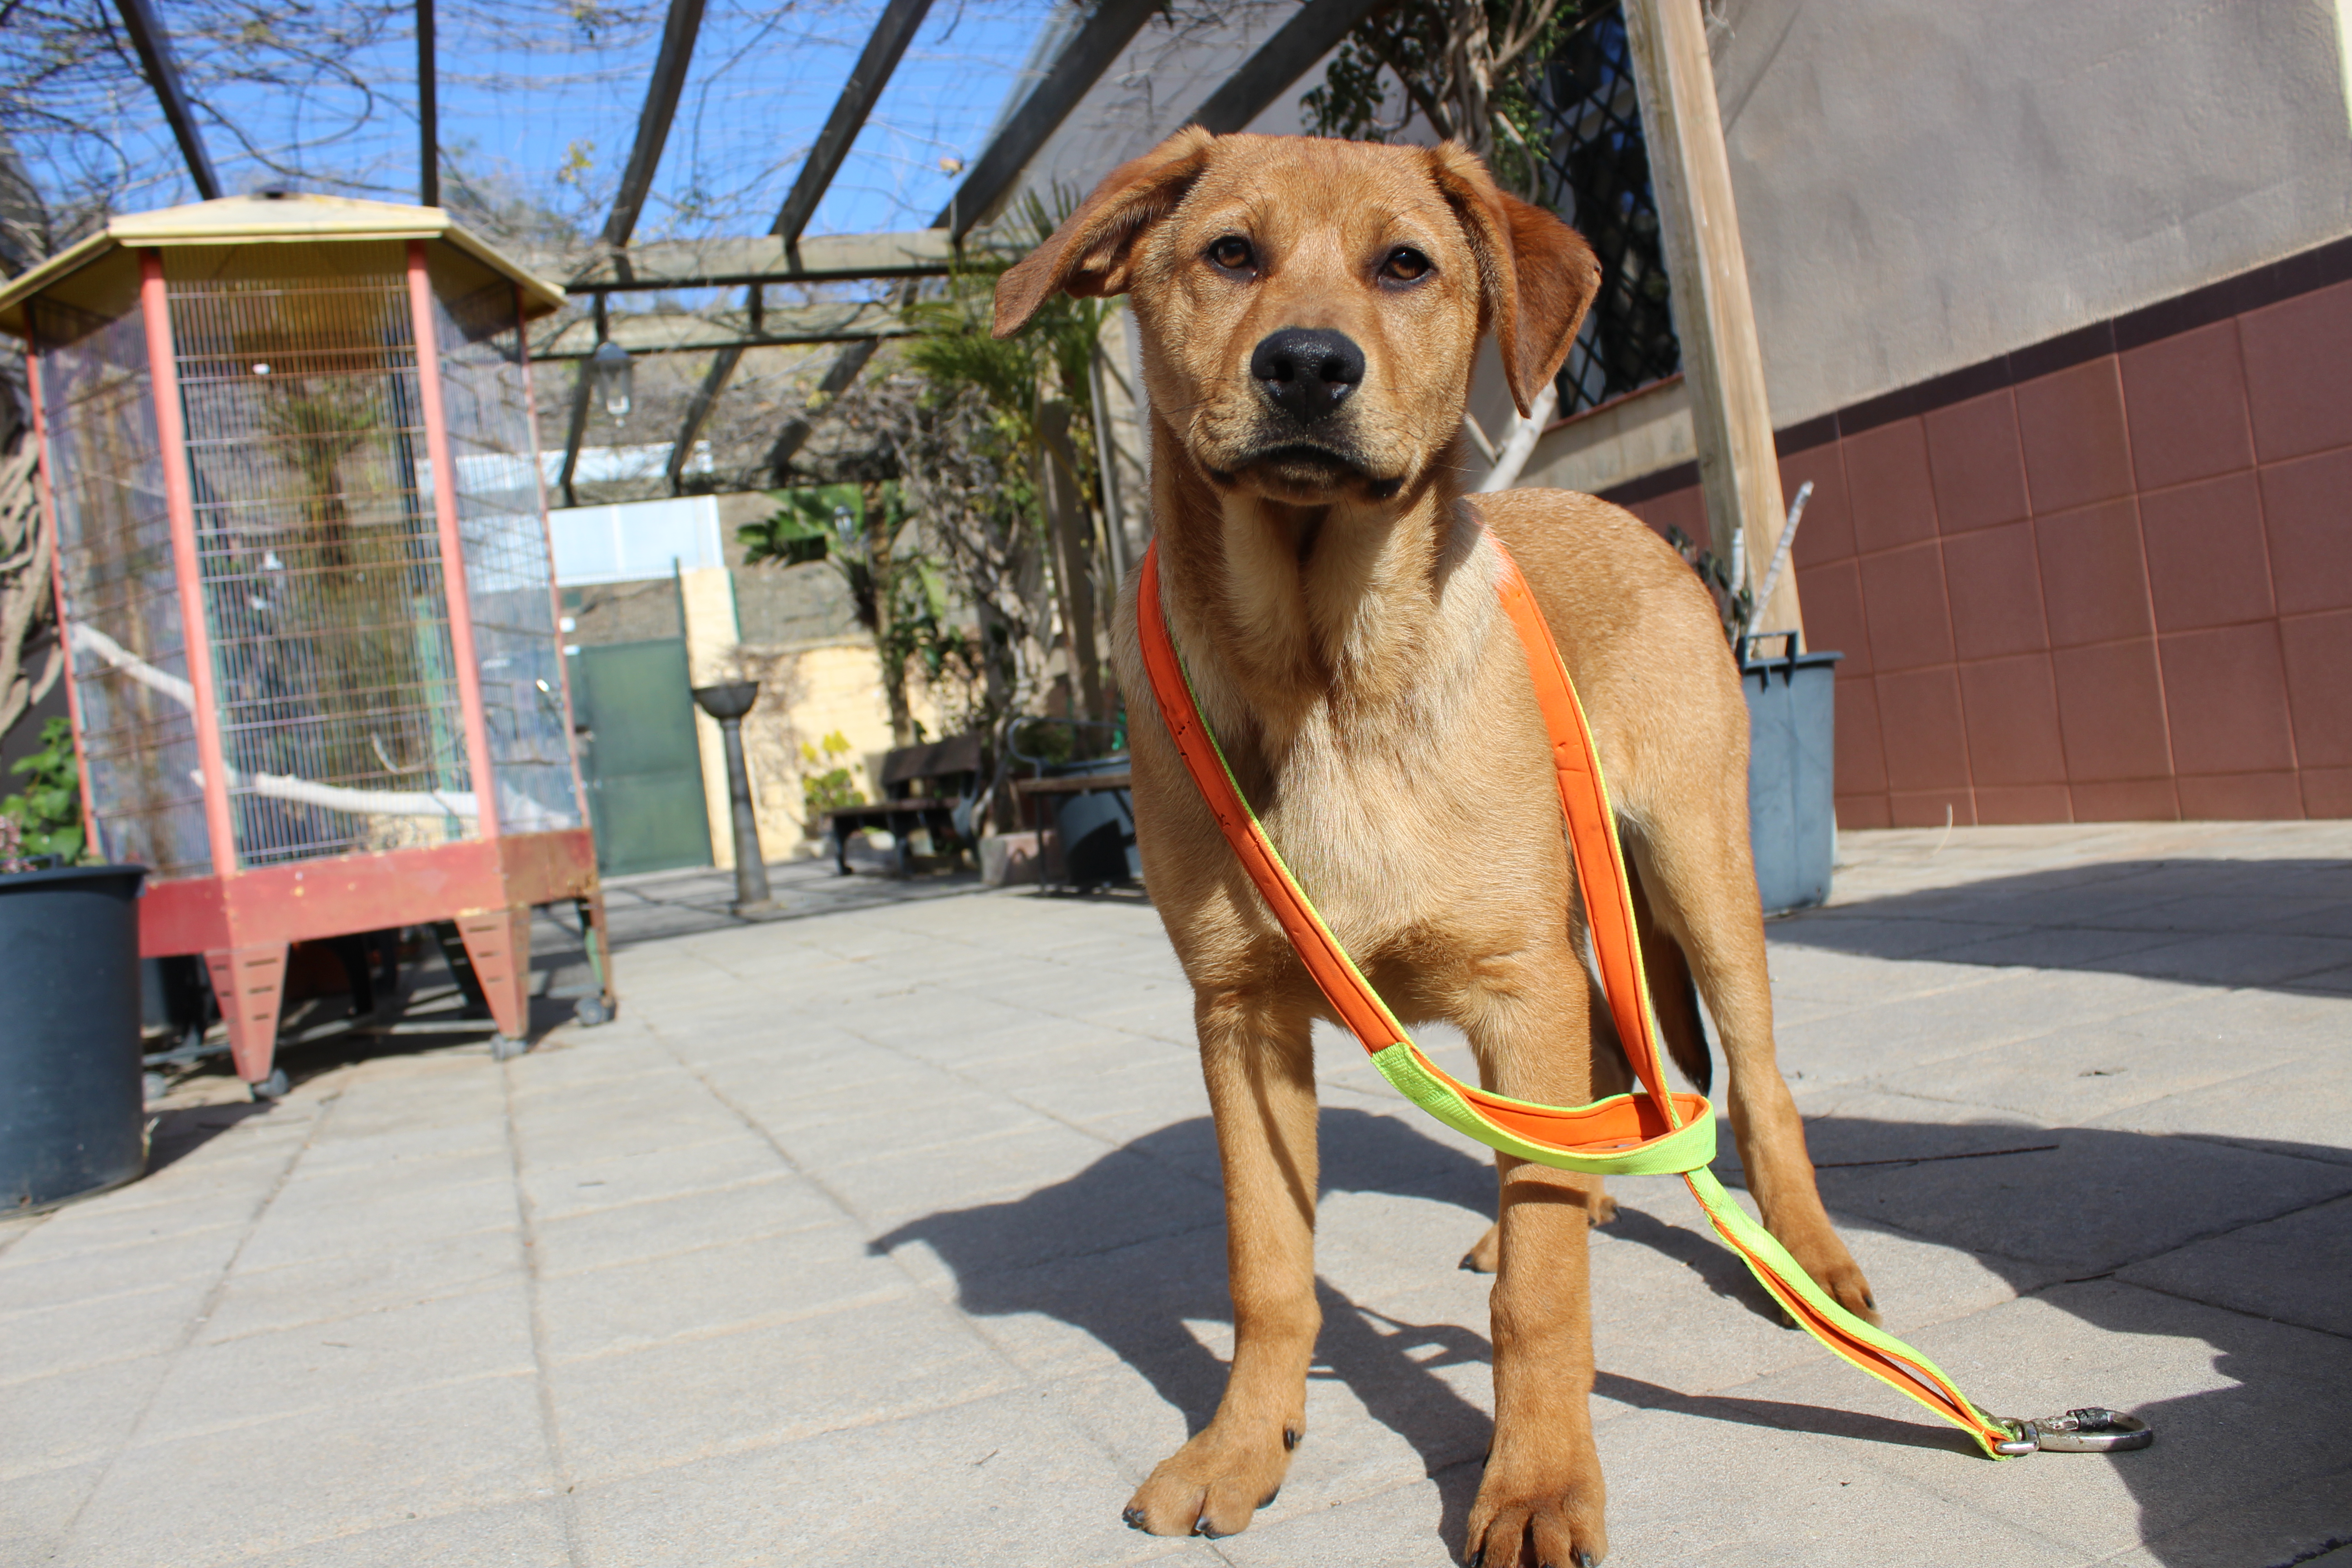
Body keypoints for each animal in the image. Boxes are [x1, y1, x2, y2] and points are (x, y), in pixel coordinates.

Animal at [992, 132, 1872, 1568]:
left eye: (1405, 266)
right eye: (1228, 253)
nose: (1306, 366)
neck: (1323, 671)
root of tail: (1641, 527)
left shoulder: (1518, 985)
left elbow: (1543, 1296)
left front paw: (1540, 1482)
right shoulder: (1240, 1015)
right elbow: (1269, 1268)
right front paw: (1242, 1445)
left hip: (1698, 869)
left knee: (1751, 1080)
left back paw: (1808, 1256)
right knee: (1601, 1088)